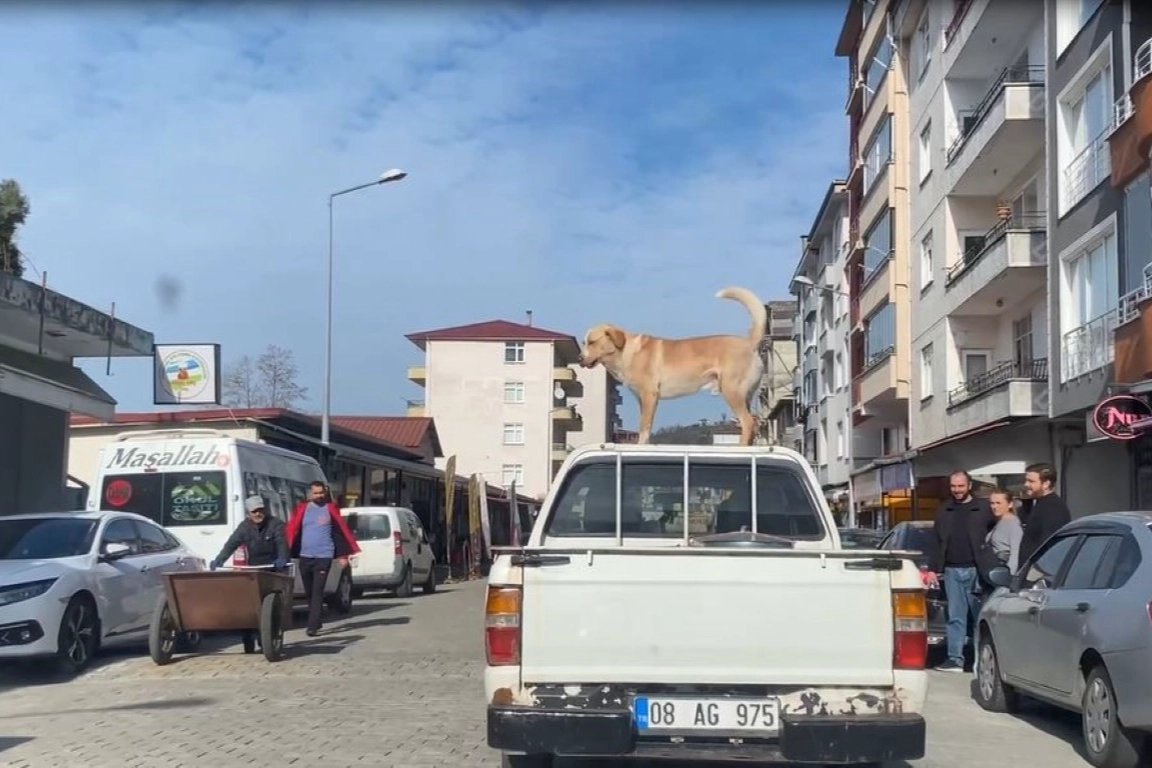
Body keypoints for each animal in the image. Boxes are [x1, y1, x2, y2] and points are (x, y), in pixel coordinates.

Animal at [576, 286, 764, 444]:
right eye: (584, 343)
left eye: (592, 342)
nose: (579, 358)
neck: (627, 352)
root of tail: (749, 343)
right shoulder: (642, 400)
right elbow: (646, 427)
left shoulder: (649, 395)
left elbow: (644, 429)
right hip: (744, 396)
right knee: (753, 422)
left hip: (731, 390)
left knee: (748, 422)